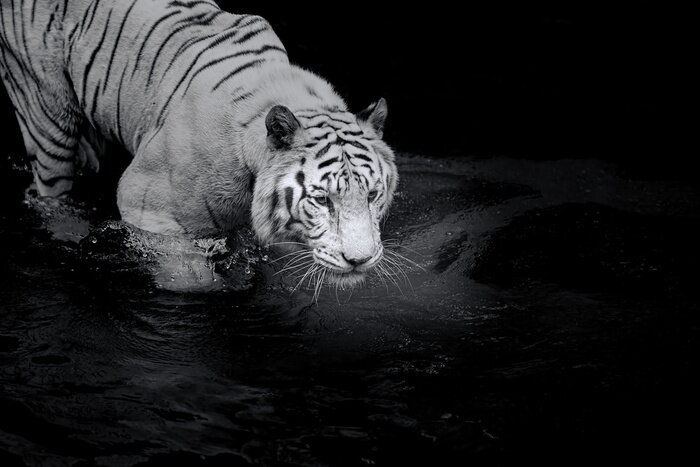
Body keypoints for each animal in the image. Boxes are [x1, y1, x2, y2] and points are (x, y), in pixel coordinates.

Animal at [0, 0, 398, 288]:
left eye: (373, 195)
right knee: (52, 195)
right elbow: (192, 279)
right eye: (321, 199)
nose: (360, 261)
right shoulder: (148, 208)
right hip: (47, 113)